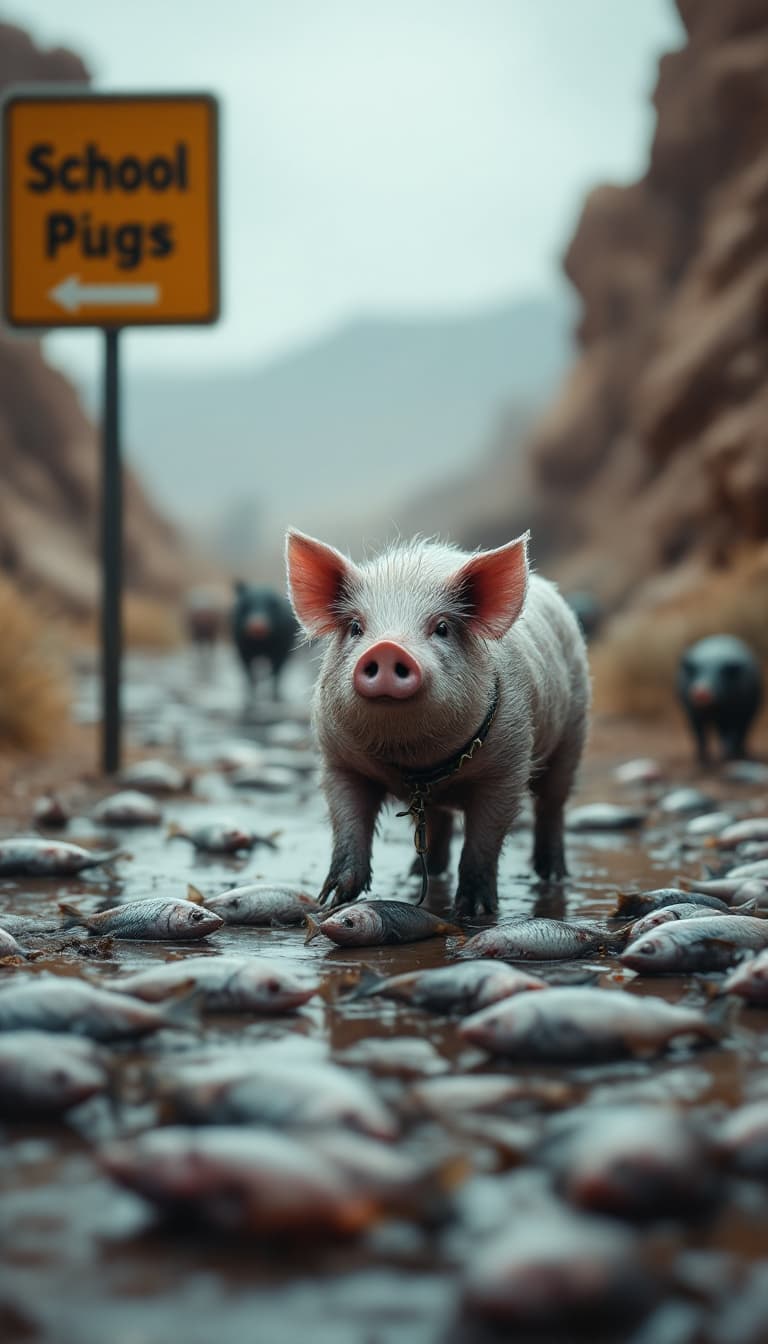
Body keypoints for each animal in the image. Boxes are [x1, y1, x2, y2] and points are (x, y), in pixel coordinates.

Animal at [285, 530, 590, 916]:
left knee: (552, 805)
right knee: (437, 822)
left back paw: (553, 874)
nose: (387, 648)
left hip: (573, 733)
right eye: (356, 627)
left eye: (442, 628)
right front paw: (330, 900)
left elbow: (485, 838)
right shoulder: (338, 760)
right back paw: (419, 873)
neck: (419, 761)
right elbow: (348, 821)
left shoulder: (509, 766)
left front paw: (473, 910)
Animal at [677, 635, 763, 765]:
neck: (714, 709)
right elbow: (699, 733)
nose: (702, 690)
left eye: (720, 674)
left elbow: (736, 730)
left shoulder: (740, 710)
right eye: (698, 672)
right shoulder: (691, 710)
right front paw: (702, 761)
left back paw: (738, 752)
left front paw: (731, 755)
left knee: (741, 731)